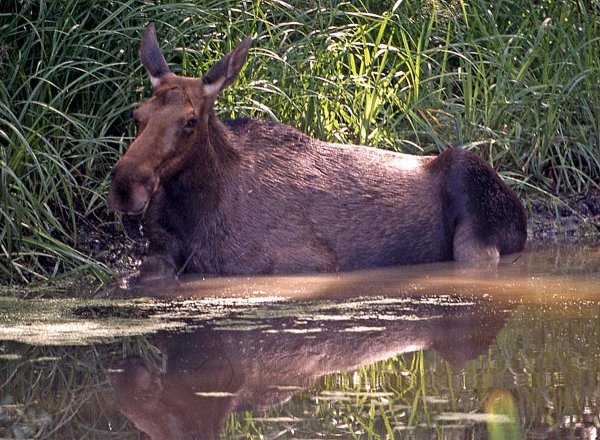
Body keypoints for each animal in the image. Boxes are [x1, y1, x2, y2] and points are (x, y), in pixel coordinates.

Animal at [108, 24, 524, 280]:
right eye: (137, 115)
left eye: (191, 121)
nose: (126, 185)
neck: (193, 208)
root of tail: (521, 208)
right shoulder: (159, 251)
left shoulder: (306, 261)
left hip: (472, 214)